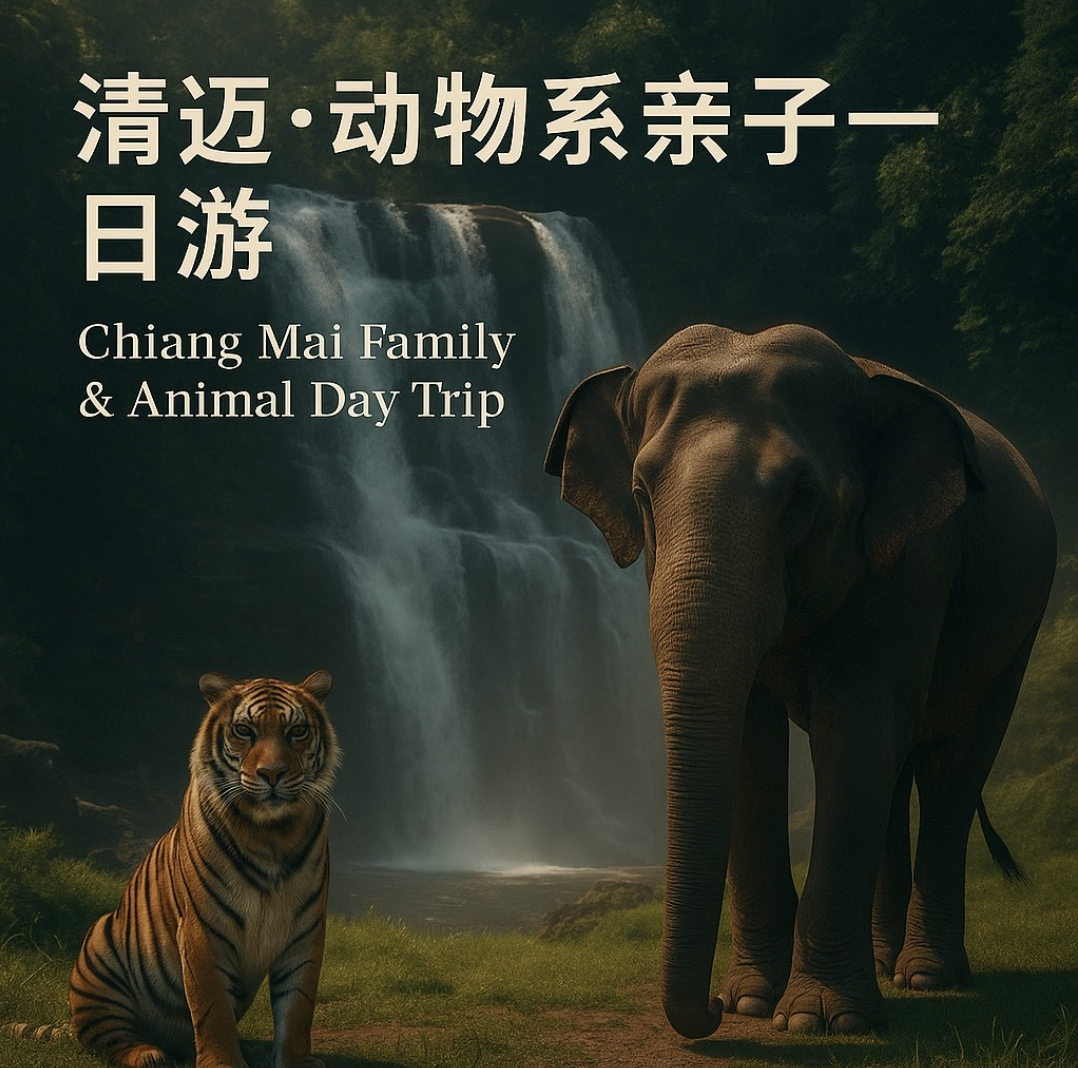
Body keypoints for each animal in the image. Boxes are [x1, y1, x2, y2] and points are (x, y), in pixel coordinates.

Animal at [68, 670, 340, 1068]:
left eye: (297, 731)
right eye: (244, 730)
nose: (272, 773)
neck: (270, 835)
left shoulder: (305, 930)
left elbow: (297, 1007)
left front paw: (295, 1060)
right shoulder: (202, 928)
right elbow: (212, 1007)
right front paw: (223, 1062)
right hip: (100, 952)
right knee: (106, 1036)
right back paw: (147, 1053)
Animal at [545, 323, 1056, 1040]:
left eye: (801, 499)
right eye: (642, 495)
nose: (707, 1010)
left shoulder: (916, 567)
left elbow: (857, 734)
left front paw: (819, 1020)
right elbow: (753, 745)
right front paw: (752, 1003)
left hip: (1017, 629)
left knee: (951, 774)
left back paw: (927, 977)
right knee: (895, 779)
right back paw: (886, 964)